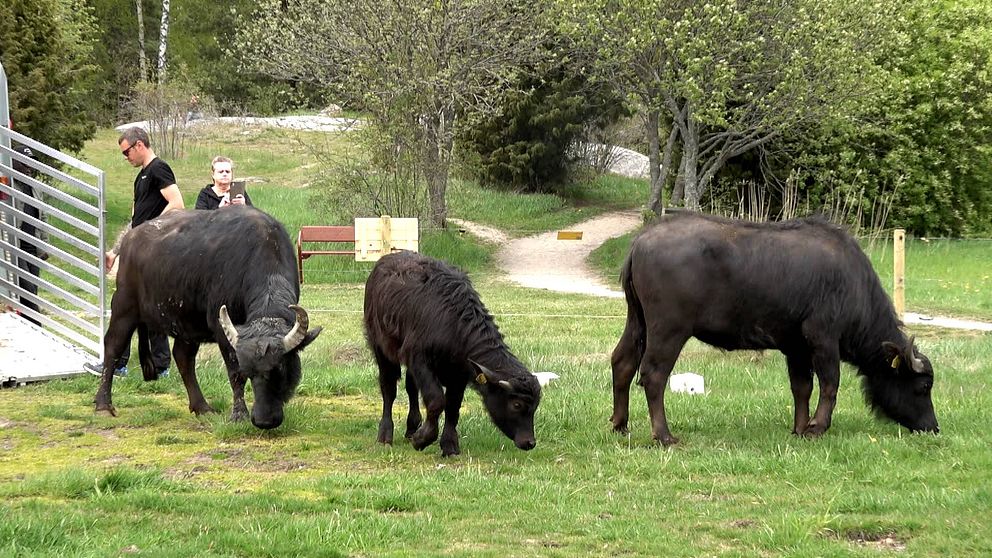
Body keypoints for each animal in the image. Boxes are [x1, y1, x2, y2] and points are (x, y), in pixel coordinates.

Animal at [93, 208, 322, 430]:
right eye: (249, 371)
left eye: (280, 369)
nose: (263, 421)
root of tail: (130, 237)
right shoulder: (222, 330)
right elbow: (234, 374)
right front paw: (239, 414)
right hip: (124, 306)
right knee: (112, 346)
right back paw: (103, 405)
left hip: (186, 322)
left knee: (183, 357)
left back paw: (202, 407)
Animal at [364, 252, 544, 458]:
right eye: (516, 404)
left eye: (535, 406)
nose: (529, 442)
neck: (455, 328)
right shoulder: (421, 362)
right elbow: (436, 401)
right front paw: (422, 439)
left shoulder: (459, 374)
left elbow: (453, 407)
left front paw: (449, 445)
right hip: (380, 347)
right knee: (389, 389)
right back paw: (385, 435)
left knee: (411, 388)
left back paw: (411, 428)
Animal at [608, 214, 940, 446]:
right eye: (923, 386)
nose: (933, 427)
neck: (853, 285)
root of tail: (640, 241)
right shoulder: (823, 339)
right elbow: (829, 384)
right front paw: (817, 427)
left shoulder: (796, 348)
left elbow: (802, 387)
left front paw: (799, 427)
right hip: (669, 330)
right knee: (653, 375)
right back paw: (664, 435)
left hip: (637, 322)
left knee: (622, 363)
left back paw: (620, 424)